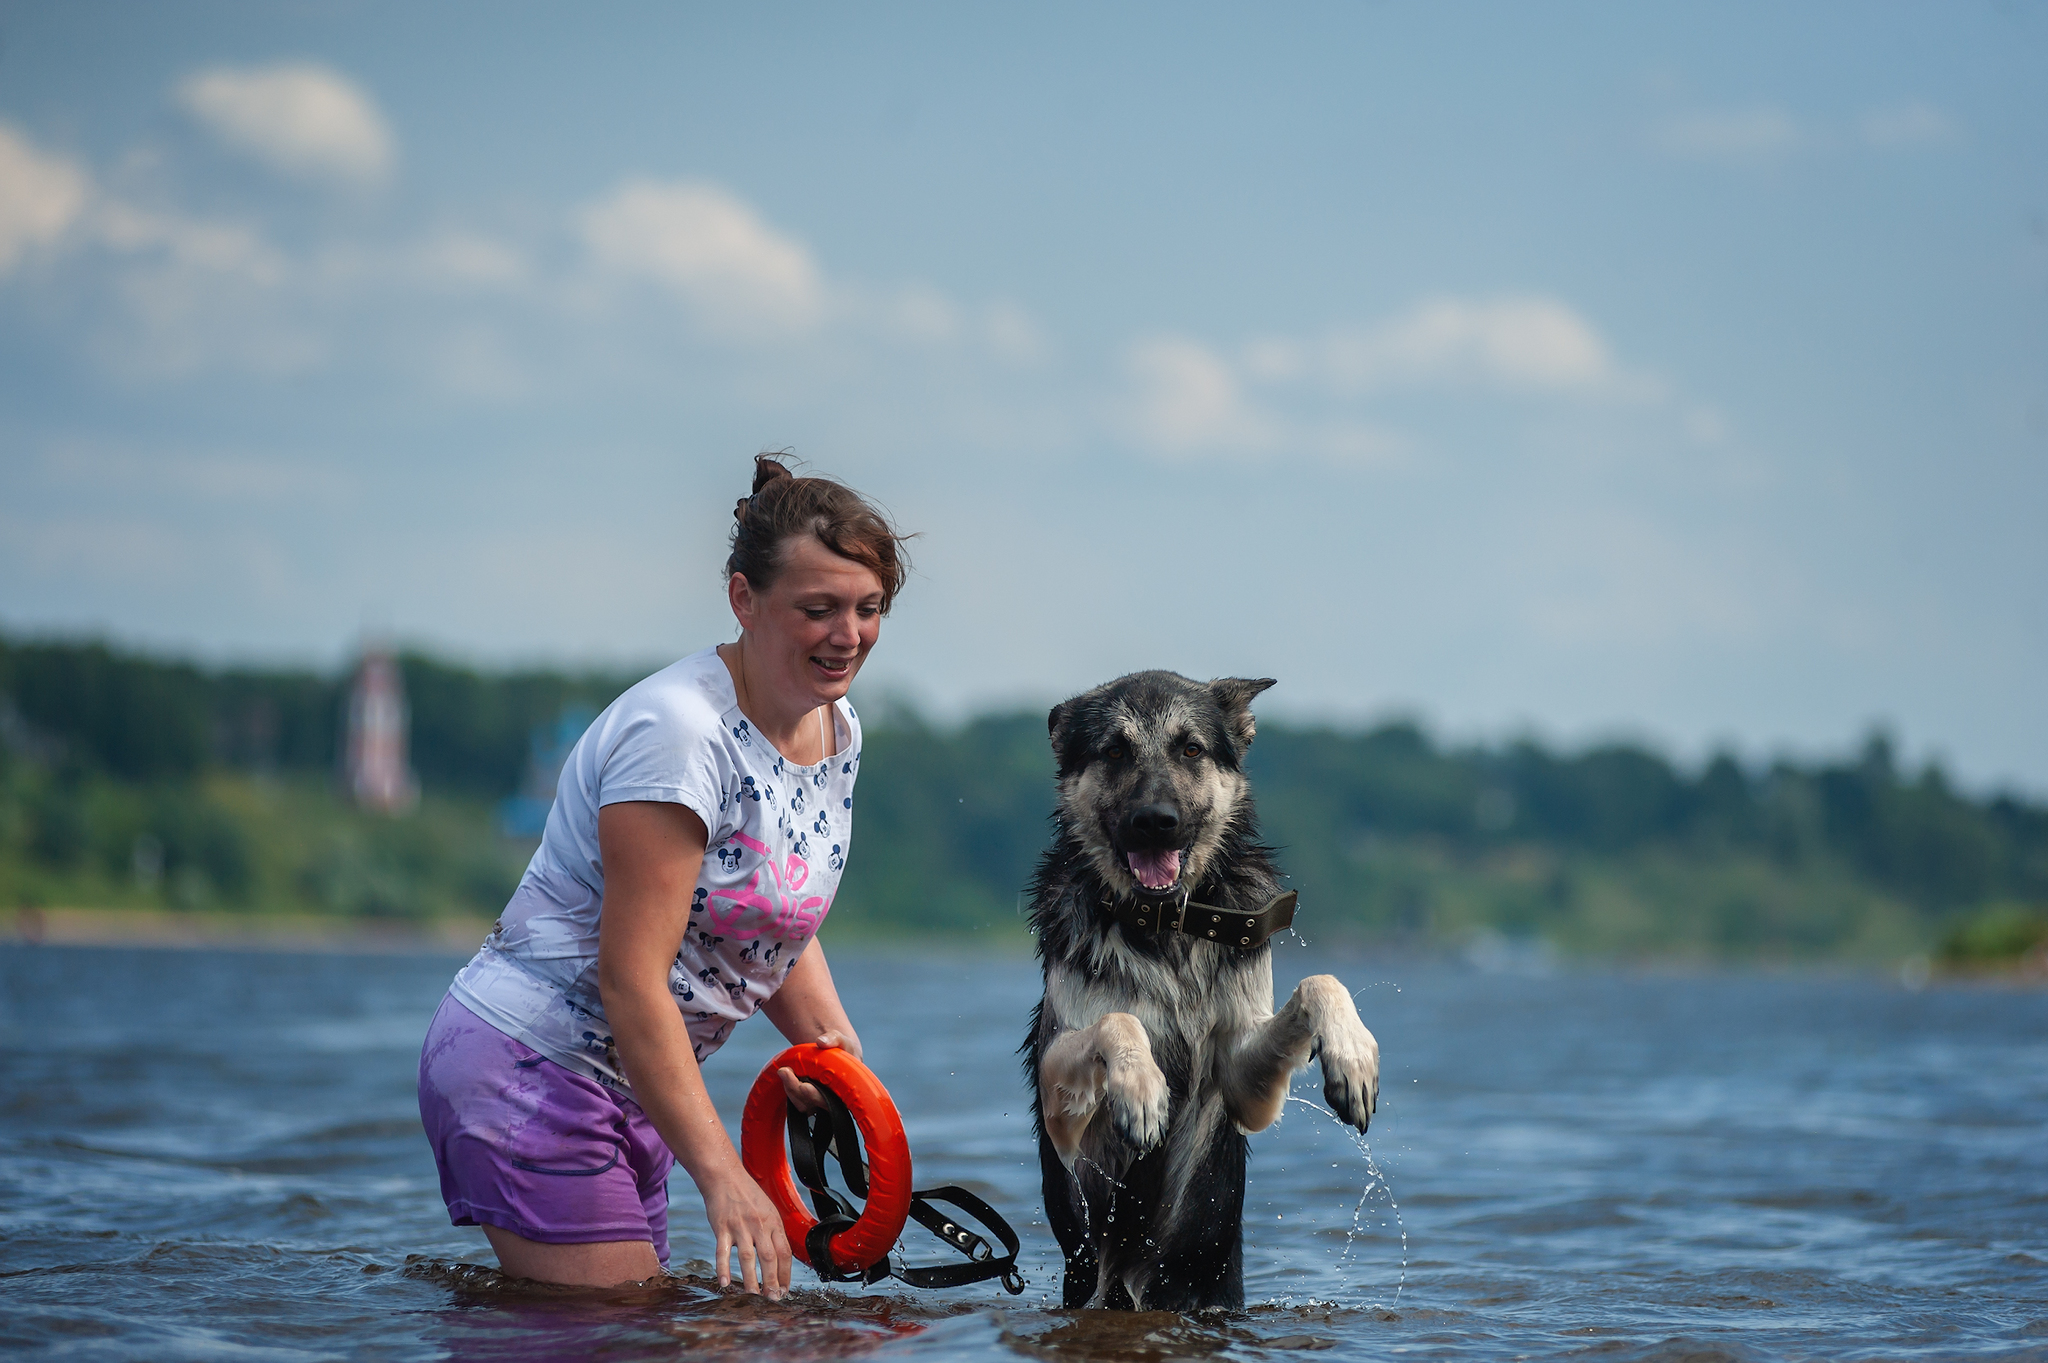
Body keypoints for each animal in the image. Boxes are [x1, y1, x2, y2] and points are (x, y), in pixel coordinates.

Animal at [1019, 667, 1376, 1309]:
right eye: (1115, 751)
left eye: (1191, 749)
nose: (1156, 821)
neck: (1165, 928)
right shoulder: (1071, 1128)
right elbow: (1116, 1020)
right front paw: (1141, 1086)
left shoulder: (1243, 1083)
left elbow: (1321, 981)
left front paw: (1353, 1058)